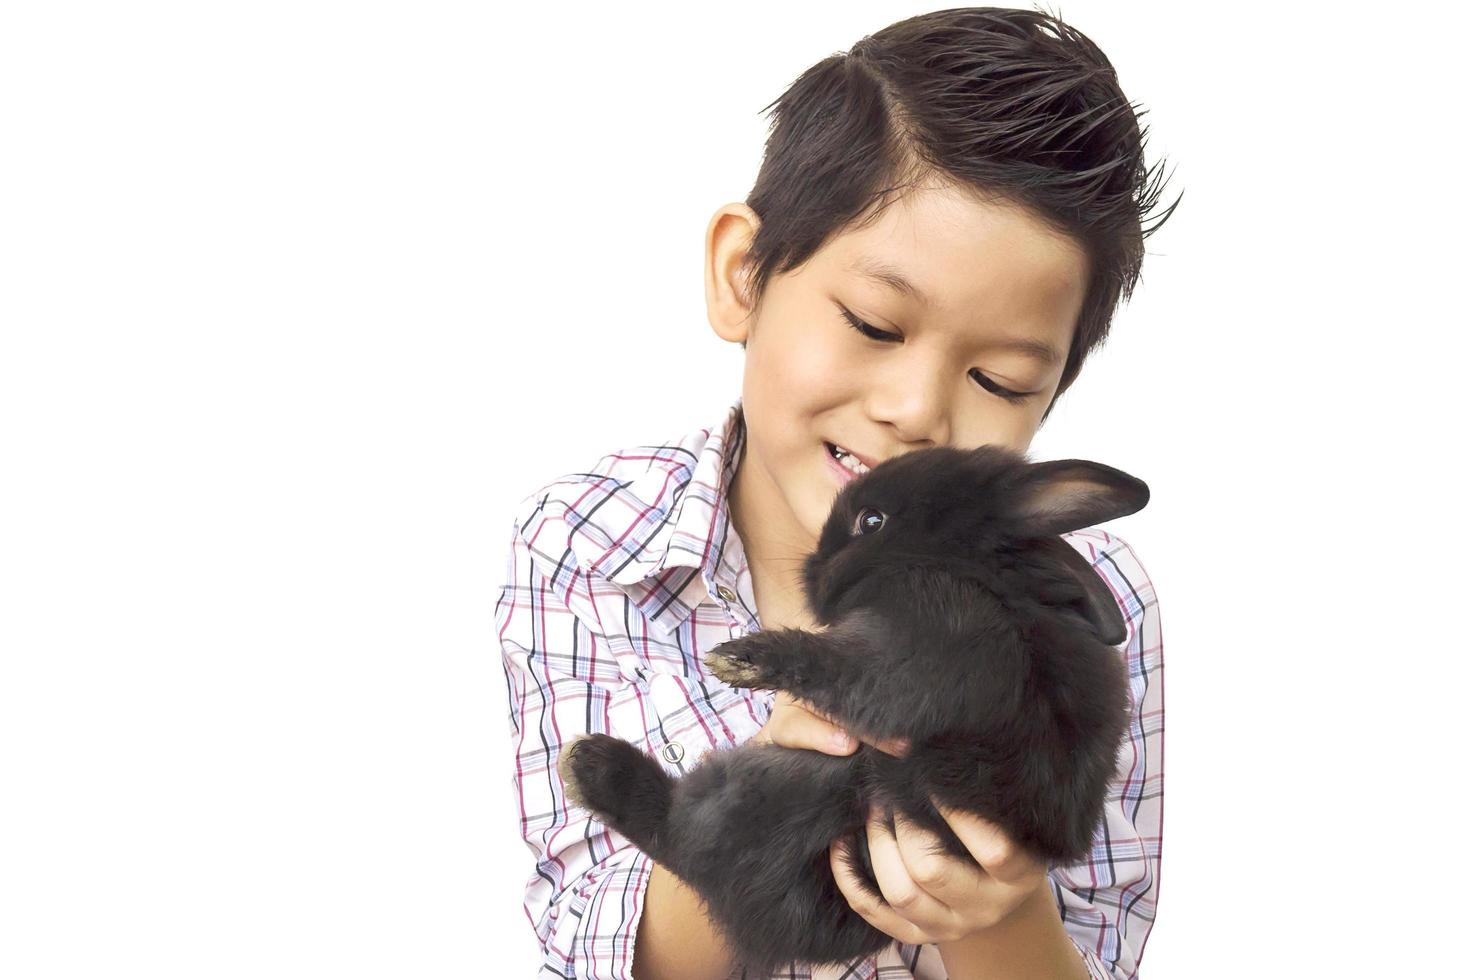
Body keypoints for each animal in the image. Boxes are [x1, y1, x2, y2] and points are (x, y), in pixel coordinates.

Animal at [555, 446, 1140, 980]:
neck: (969, 569)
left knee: (675, 830)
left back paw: (591, 763)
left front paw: (743, 659)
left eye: (871, 521)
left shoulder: (925, 632)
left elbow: (845, 669)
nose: (812, 566)